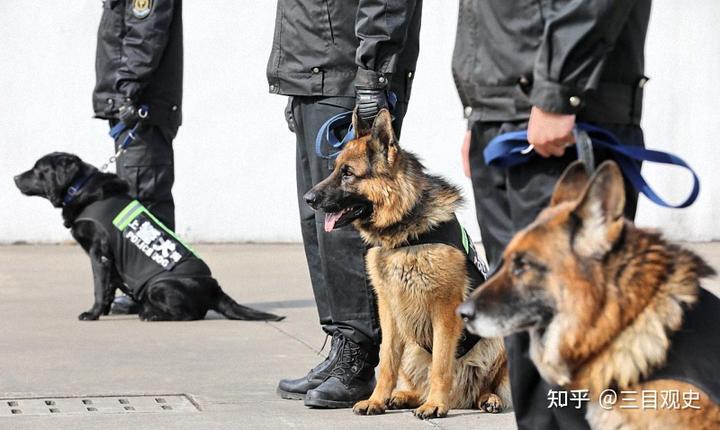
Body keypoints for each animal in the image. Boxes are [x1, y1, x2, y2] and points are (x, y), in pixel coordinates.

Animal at [14, 152, 284, 322]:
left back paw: (151, 314)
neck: (79, 188)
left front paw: (92, 314)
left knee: (190, 315)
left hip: (159, 285)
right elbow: (109, 288)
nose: (15, 178)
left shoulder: (99, 254)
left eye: (38, 170)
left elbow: (99, 288)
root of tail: (215, 290)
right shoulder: (110, 263)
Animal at [304, 109, 512, 418]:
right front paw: (377, 399)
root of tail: (461, 397)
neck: (404, 234)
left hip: (495, 339)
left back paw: (486, 398)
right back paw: (402, 396)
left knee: (487, 384)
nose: (308, 198)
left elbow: (441, 365)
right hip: (412, 345)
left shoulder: (445, 311)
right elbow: (387, 362)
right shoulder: (389, 311)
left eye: (348, 173)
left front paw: (436, 404)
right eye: (335, 169)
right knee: (418, 382)